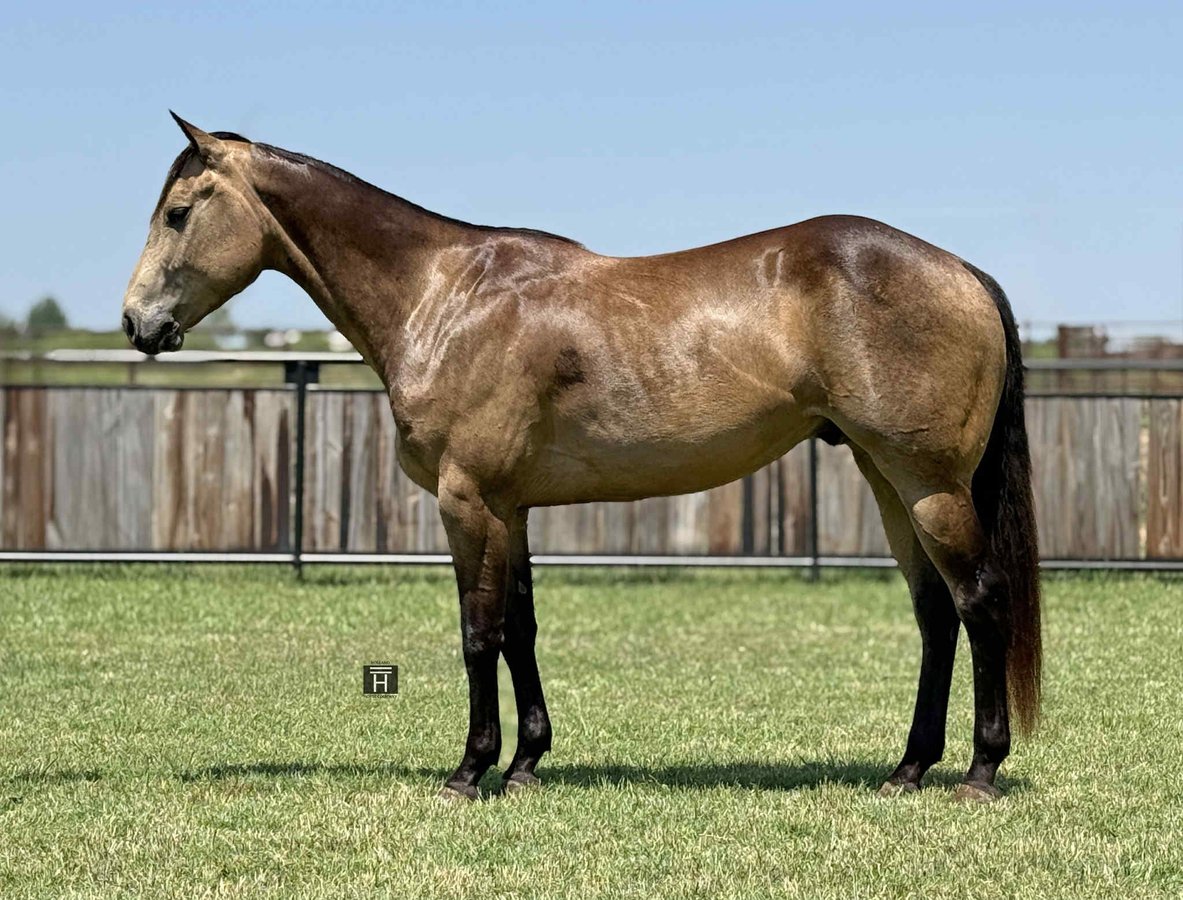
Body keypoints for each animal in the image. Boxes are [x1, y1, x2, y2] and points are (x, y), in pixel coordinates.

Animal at [122, 114, 1041, 803]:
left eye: (178, 213)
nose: (137, 322)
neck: (445, 297)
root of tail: (960, 270)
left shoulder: (466, 501)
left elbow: (477, 632)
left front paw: (469, 771)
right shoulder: (510, 506)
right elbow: (520, 627)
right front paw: (526, 761)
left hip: (929, 486)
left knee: (980, 602)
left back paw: (979, 771)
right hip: (888, 483)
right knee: (934, 616)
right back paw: (907, 769)